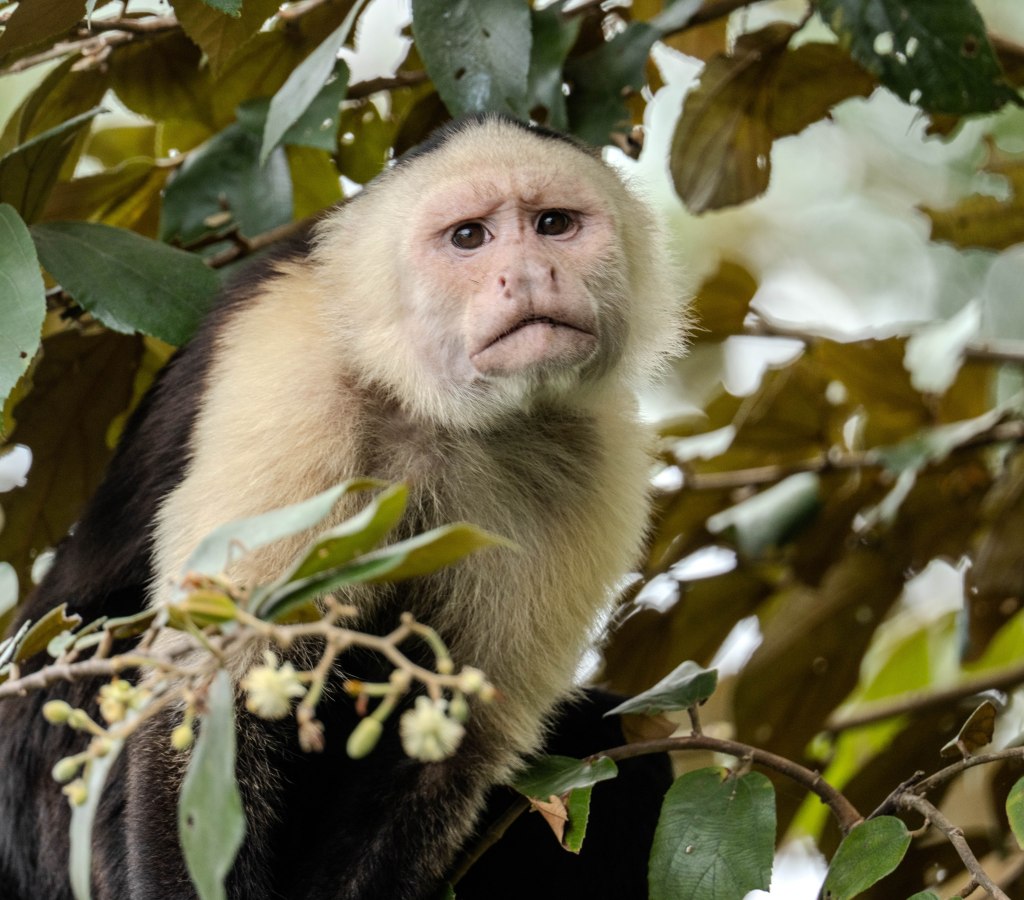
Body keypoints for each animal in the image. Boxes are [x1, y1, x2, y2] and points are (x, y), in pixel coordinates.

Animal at [0, 113, 682, 900]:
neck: (437, 408)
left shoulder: (597, 463)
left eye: (554, 225)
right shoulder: (292, 368)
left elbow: (446, 747)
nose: (532, 274)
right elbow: (211, 695)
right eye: (470, 238)